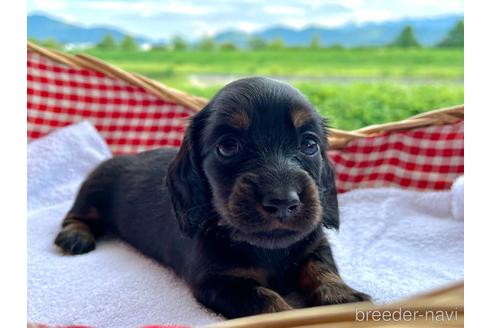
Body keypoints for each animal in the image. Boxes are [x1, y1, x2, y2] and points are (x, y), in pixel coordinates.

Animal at [54, 76, 368, 318]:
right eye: (228, 146)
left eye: (309, 144)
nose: (282, 202)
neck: (267, 249)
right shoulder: (218, 282)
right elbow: (266, 300)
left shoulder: (314, 245)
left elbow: (322, 270)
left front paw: (344, 299)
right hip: (95, 189)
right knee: (76, 215)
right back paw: (74, 236)